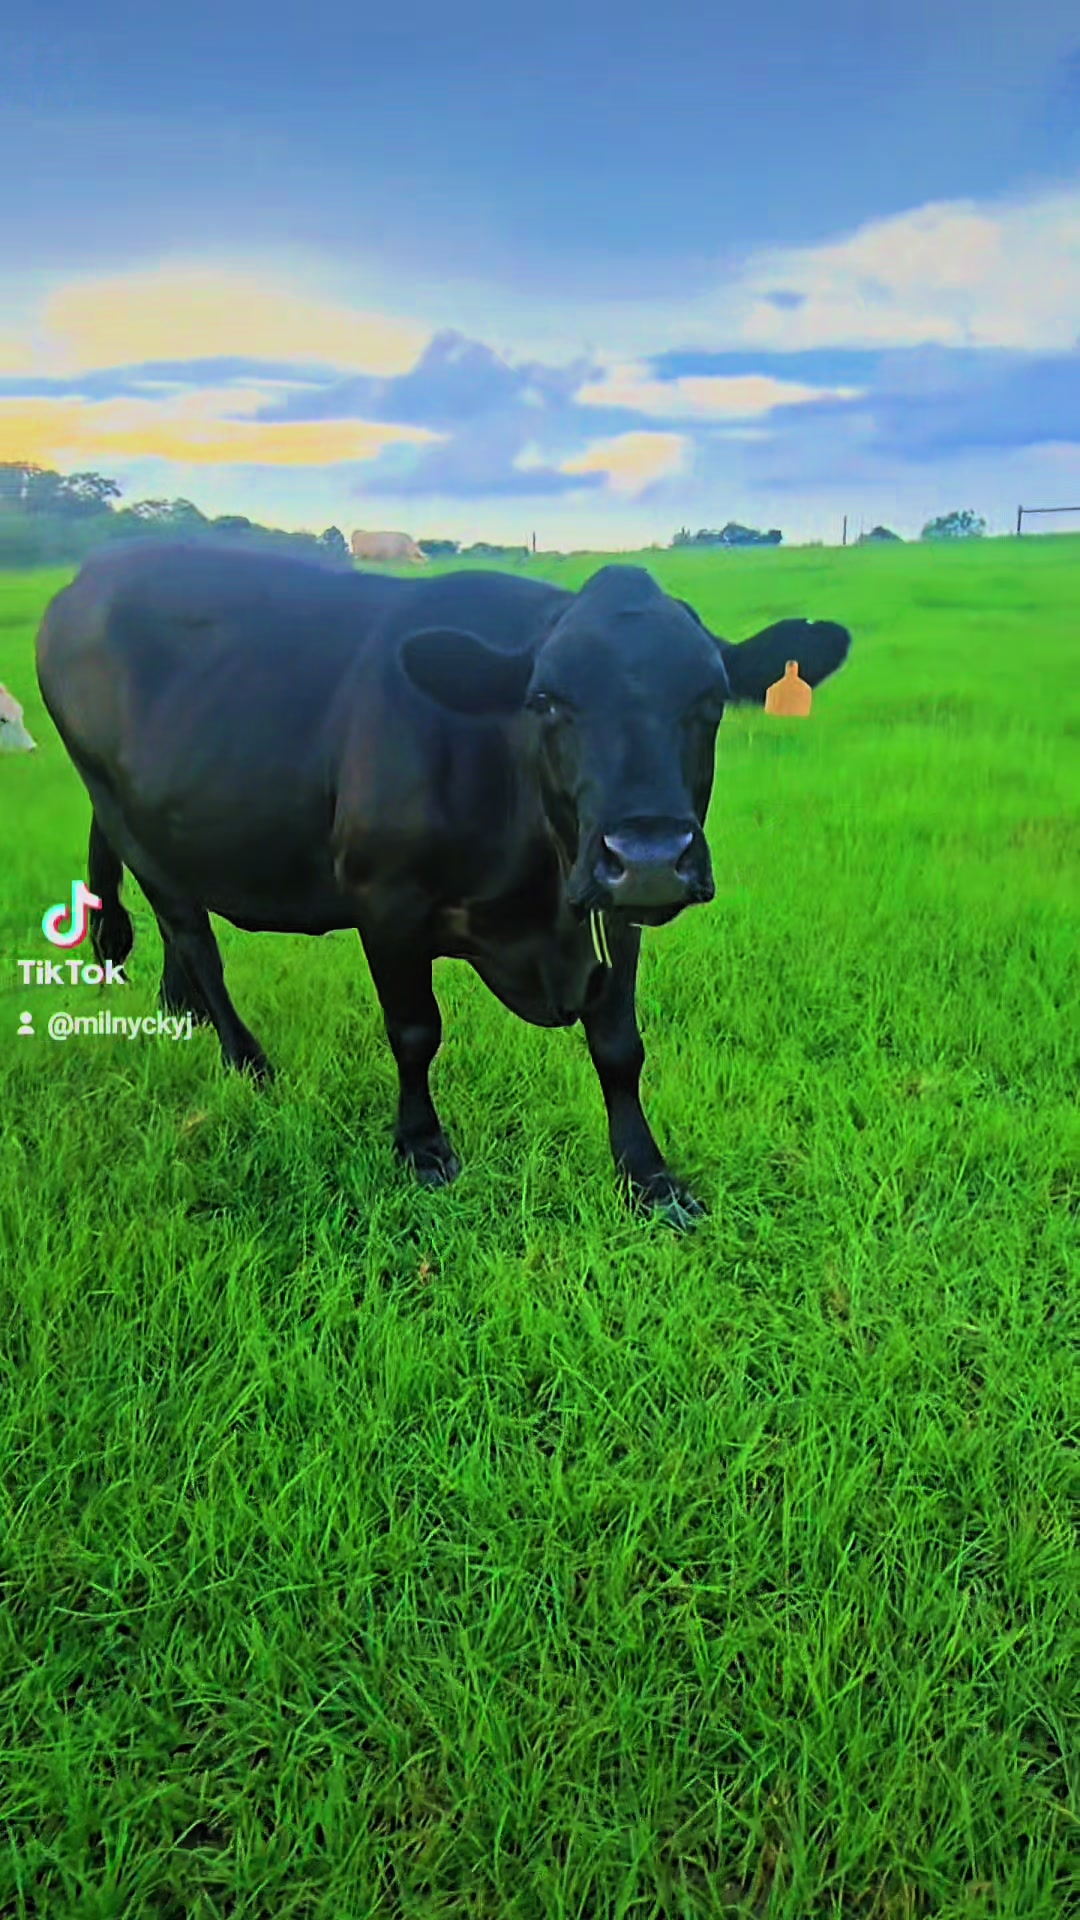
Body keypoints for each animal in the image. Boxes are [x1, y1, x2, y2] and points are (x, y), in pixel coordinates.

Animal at [35, 542, 852, 1222]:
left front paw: (648, 1175)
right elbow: (415, 1030)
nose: (649, 853)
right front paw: (422, 1146)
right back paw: (247, 1060)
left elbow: (621, 1048)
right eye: (546, 700)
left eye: (709, 699)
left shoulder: (609, 914)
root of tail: (86, 576)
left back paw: (184, 1013)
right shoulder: (385, 902)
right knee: (194, 937)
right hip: (125, 815)